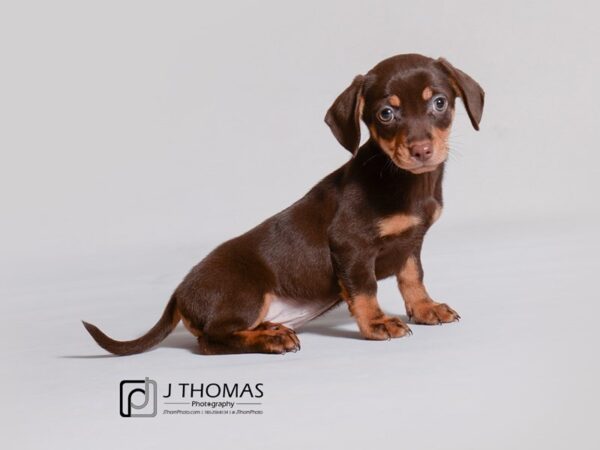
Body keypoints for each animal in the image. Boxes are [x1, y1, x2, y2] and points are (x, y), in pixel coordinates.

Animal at [83, 52, 482, 356]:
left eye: (439, 103)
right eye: (386, 113)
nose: (421, 150)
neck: (402, 180)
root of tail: (179, 293)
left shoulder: (411, 242)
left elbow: (413, 277)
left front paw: (426, 308)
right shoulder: (351, 246)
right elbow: (366, 290)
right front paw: (377, 323)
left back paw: (271, 329)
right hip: (244, 291)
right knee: (212, 340)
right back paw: (270, 339)